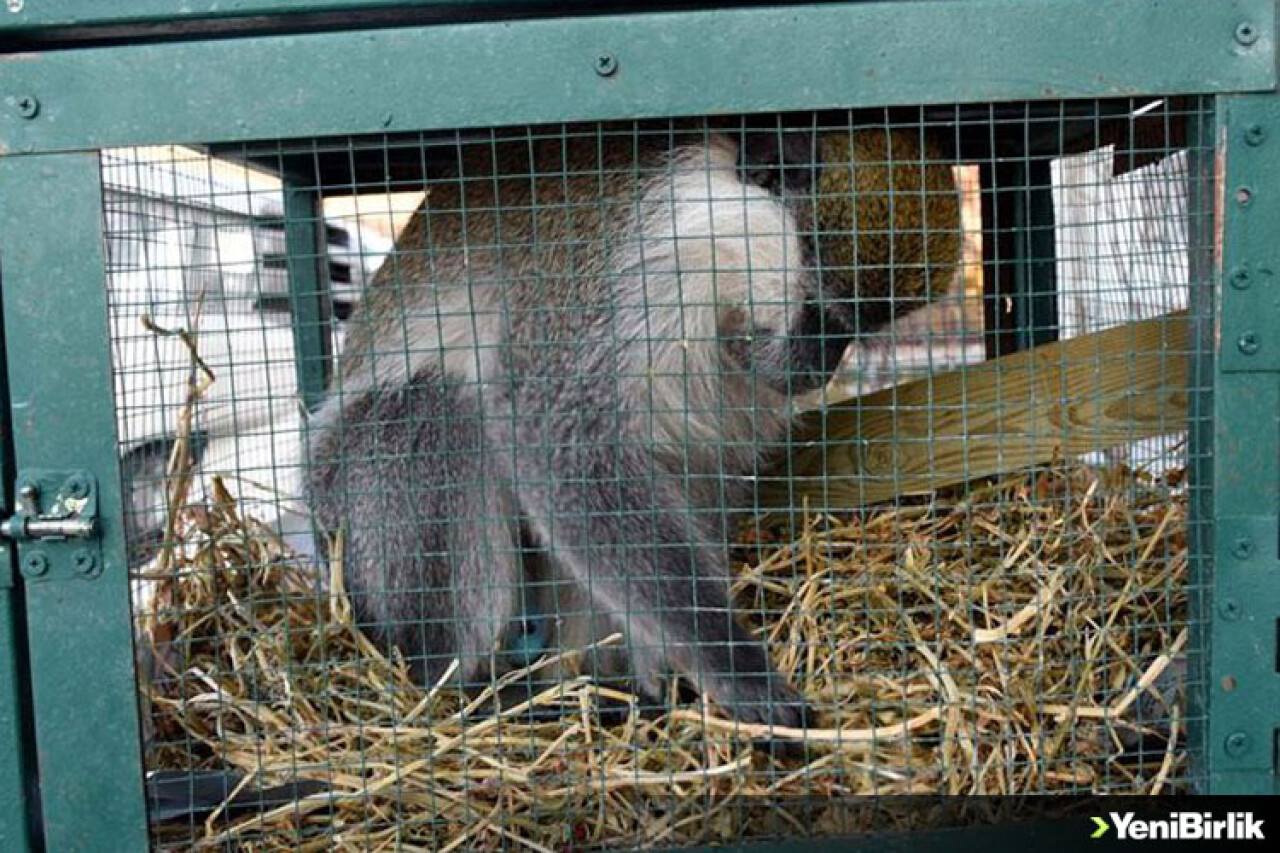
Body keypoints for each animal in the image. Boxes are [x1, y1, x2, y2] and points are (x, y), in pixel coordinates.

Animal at [302, 119, 962, 727]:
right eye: (825, 316)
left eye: (853, 332)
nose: (820, 368)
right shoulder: (610, 286)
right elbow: (561, 452)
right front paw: (742, 675)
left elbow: (686, 481)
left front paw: (668, 679)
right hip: (350, 512)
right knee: (441, 411)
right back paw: (461, 691)